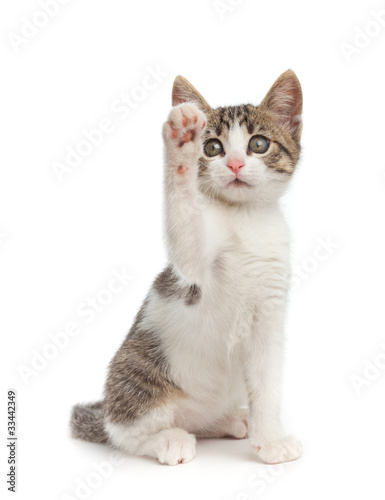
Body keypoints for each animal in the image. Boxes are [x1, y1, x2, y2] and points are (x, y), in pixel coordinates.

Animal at [70, 69, 304, 464]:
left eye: (258, 144)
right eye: (213, 148)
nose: (235, 164)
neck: (242, 218)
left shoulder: (269, 315)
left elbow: (268, 383)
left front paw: (270, 439)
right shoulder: (192, 271)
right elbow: (186, 228)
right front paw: (180, 145)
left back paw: (232, 420)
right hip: (140, 369)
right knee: (124, 432)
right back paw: (168, 439)